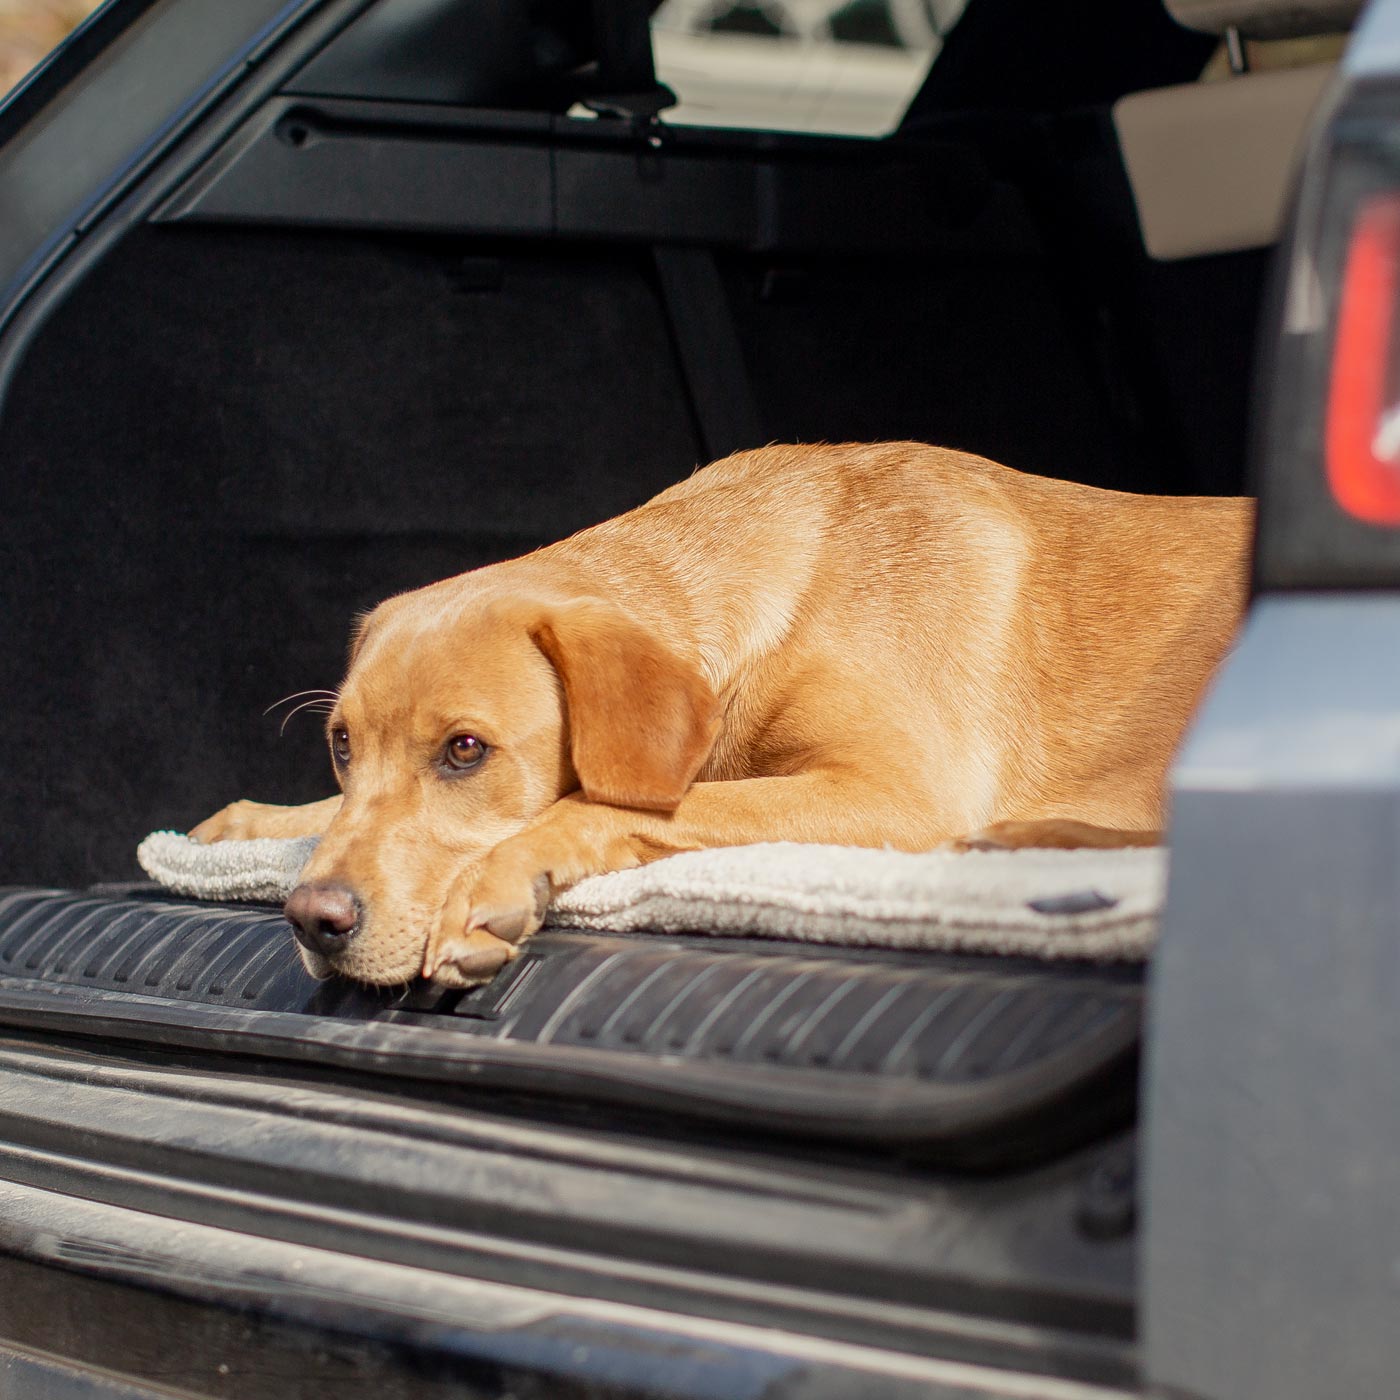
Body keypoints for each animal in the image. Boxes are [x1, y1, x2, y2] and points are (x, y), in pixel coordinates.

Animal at [191, 445, 1254, 985]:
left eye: (464, 750)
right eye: (340, 747)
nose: (313, 919)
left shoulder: (895, 789)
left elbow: (629, 802)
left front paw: (493, 878)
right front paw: (252, 822)